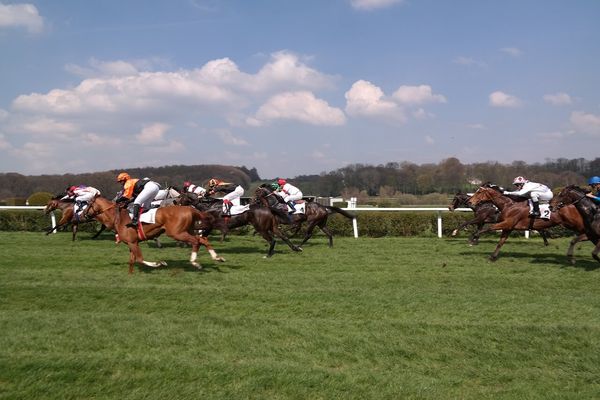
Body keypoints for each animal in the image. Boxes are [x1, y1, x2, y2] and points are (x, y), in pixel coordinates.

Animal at [83, 196, 224, 274]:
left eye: (89, 203)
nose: (83, 214)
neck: (118, 218)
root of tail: (191, 209)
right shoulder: (131, 243)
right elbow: (132, 260)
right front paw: (130, 274)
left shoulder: (132, 242)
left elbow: (139, 259)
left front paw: (160, 263)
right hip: (187, 230)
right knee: (203, 240)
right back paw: (217, 257)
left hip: (177, 233)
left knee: (196, 241)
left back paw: (195, 262)